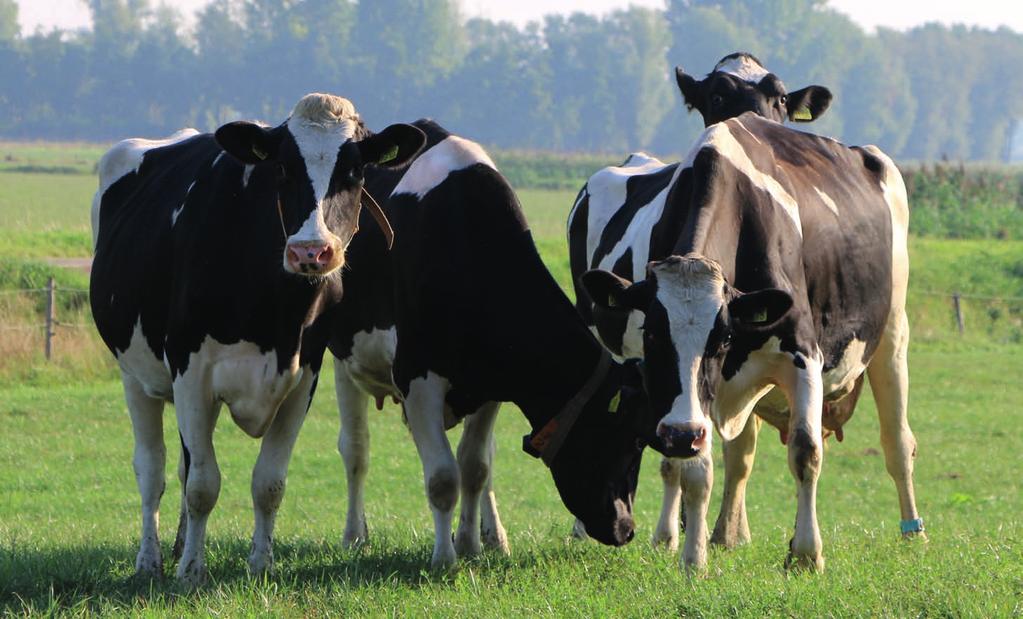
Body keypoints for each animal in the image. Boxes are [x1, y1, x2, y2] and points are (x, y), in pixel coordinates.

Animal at [87, 93, 423, 585]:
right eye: (282, 168)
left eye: (356, 173)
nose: (310, 251)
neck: (275, 314)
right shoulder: (191, 373)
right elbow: (203, 485)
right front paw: (191, 572)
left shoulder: (303, 377)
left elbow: (268, 482)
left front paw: (260, 563)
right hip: (134, 374)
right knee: (152, 469)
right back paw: (150, 560)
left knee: (183, 464)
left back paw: (176, 546)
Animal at [329, 118, 646, 568]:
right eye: (634, 439)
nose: (625, 528)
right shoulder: (417, 377)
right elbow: (443, 476)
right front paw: (444, 559)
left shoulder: (490, 384)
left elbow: (475, 466)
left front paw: (470, 544)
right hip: (344, 357)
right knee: (356, 449)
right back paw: (355, 535)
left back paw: (494, 535)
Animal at [572, 112, 924, 568]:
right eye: (651, 334)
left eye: (722, 337)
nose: (682, 433)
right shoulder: (682, 397)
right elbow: (693, 469)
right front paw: (693, 559)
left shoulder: (803, 356)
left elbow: (806, 451)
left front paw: (807, 554)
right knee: (708, 459)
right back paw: (683, 535)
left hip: (892, 331)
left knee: (897, 441)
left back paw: (913, 533)